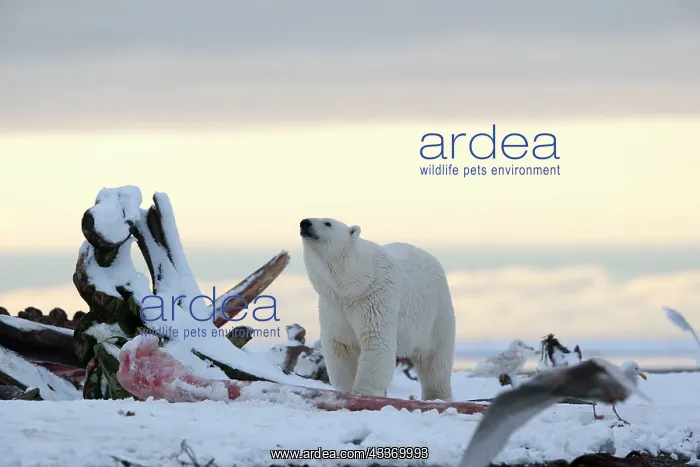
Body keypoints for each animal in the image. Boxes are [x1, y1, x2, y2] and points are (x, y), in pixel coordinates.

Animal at [299, 217, 456, 401]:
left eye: (327, 223)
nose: (305, 223)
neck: (352, 284)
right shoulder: (333, 306)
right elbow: (342, 345)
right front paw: (347, 391)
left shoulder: (375, 297)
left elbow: (376, 341)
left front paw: (363, 394)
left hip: (434, 312)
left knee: (435, 358)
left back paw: (437, 397)